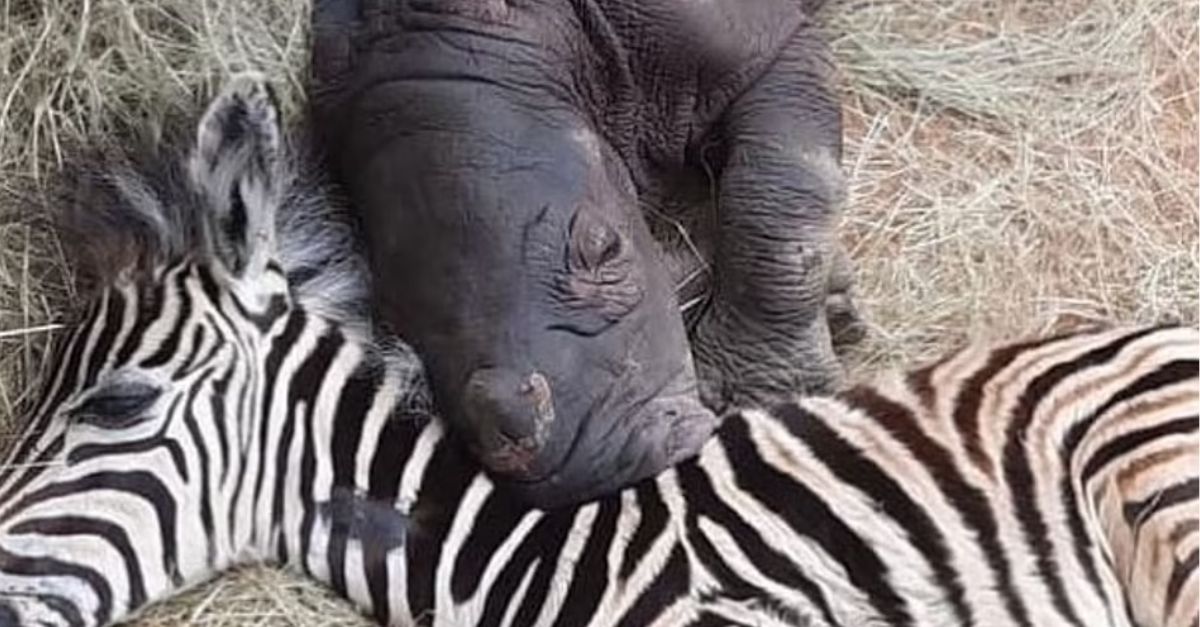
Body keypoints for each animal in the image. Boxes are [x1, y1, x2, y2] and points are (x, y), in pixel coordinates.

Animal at [309, 0, 854, 502]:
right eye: (392, 324)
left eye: (605, 248)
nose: (601, 471)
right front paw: (839, 305)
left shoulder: (768, 48)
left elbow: (783, 185)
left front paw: (766, 398)